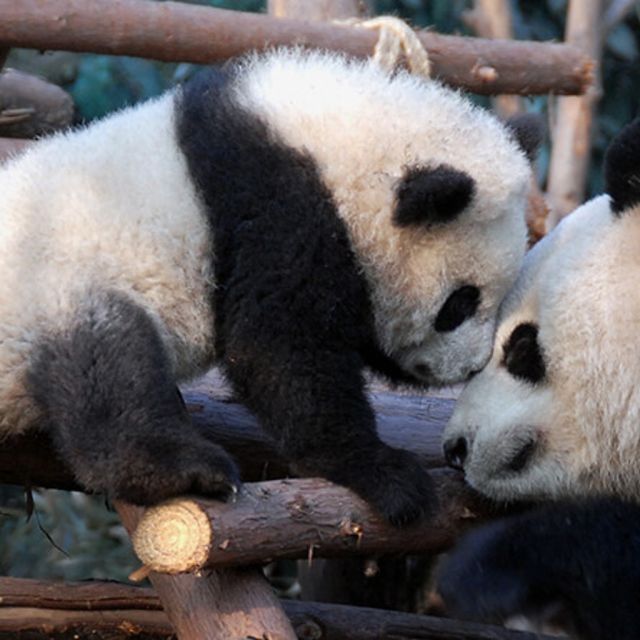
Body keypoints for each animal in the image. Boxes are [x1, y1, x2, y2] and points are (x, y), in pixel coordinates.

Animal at [1, 46, 540, 524]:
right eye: (460, 304)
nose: (467, 367)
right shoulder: (280, 209)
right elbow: (279, 349)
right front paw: (384, 474)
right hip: (57, 288)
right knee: (109, 372)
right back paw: (185, 470)